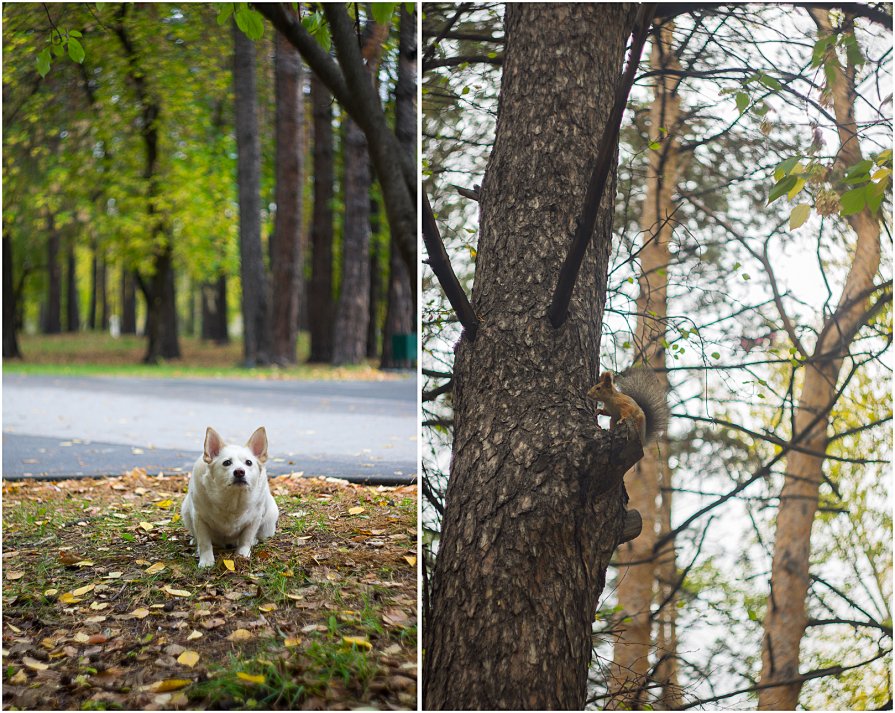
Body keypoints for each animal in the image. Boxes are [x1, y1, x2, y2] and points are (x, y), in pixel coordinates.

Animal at [180, 426, 278, 572]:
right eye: (227, 463)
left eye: (249, 463)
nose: (239, 471)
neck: (232, 499)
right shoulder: (199, 519)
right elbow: (205, 542)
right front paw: (206, 560)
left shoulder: (254, 520)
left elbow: (246, 539)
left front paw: (242, 555)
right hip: (186, 511)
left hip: (269, 522)